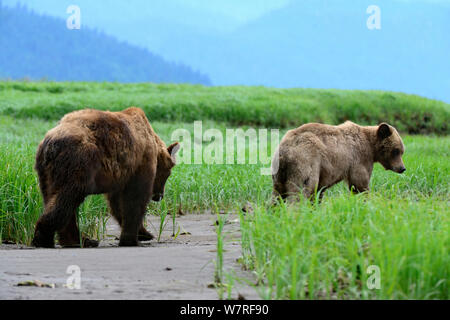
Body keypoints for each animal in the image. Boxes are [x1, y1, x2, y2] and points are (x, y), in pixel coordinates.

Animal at [31, 107, 178, 248]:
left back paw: (81, 241)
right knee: (67, 197)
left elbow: (117, 203)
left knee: (53, 197)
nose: (159, 196)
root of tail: (51, 143)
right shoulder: (140, 161)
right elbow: (135, 198)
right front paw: (133, 239)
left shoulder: (120, 175)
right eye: (168, 173)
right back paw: (45, 238)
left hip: (45, 172)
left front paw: (144, 233)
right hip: (79, 160)